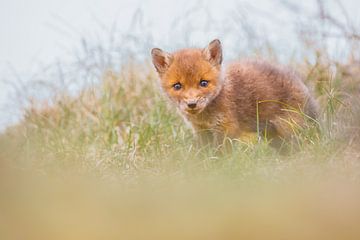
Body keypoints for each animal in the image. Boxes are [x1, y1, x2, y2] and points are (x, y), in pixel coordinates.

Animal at [151, 39, 318, 146]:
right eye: (177, 86)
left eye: (203, 83)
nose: (192, 104)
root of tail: (303, 85)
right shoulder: (202, 131)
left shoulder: (226, 128)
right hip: (273, 136)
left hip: (290, 129)